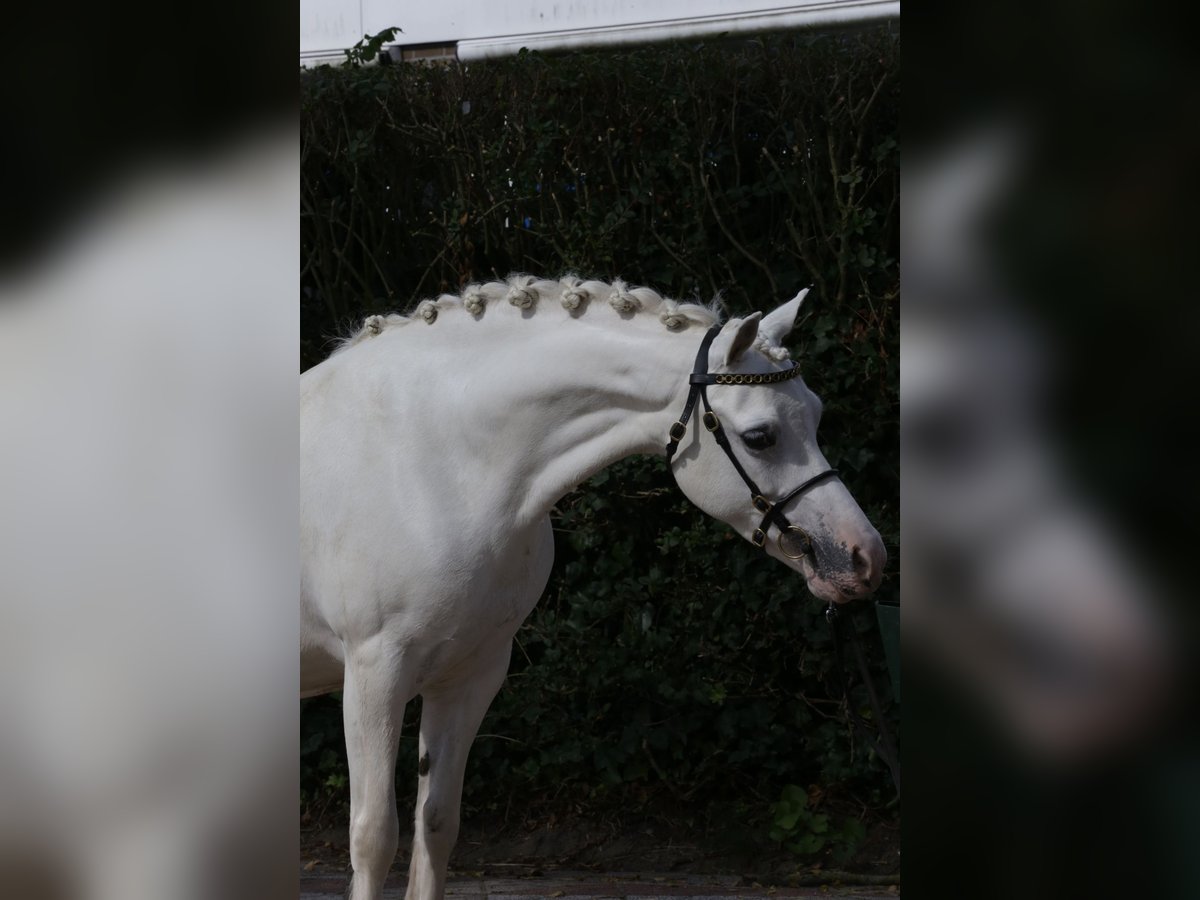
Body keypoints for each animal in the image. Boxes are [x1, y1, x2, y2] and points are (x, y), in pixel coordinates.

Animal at [297, 274, 883, 900]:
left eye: (816, 416)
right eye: (760, 436)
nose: (863, 556)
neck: (435, 459)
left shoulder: (470, 674)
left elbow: (437, 824)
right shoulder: (375, 673)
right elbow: (374, 836)